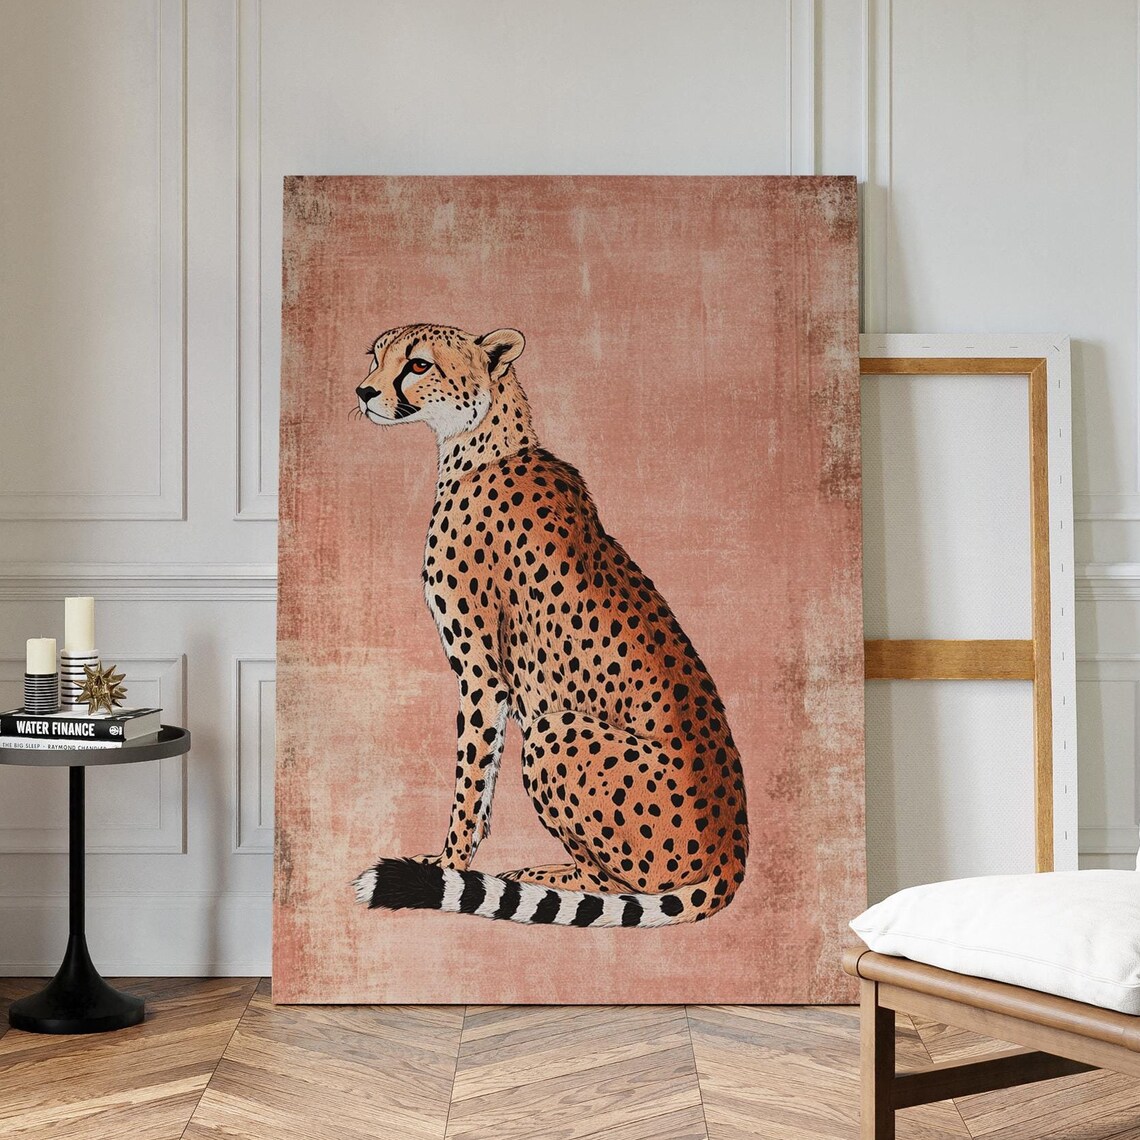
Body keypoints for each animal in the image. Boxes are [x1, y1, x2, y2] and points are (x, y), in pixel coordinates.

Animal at [351, 323, 748, 927]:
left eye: (418, 364)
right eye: (376, 356)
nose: (364, 392)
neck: (482, 445)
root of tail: (733, 848)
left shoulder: (483, 674)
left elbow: (471, 780)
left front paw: (447, 865)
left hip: (554, 731)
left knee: (612, 884)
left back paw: (540, 875)